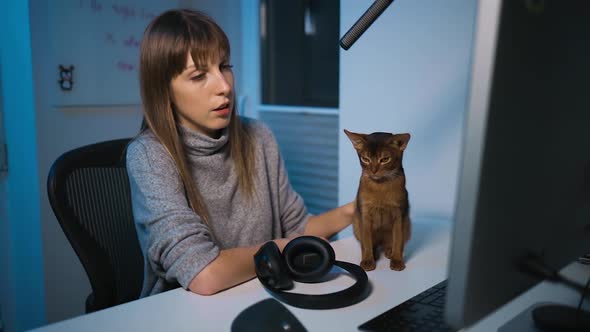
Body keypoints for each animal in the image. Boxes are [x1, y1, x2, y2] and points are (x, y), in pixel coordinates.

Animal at [344, 128, 414, 272]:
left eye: (385, 159)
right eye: (365, 159)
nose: (373, 171)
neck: (380, 186)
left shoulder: (399, 214)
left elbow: (398, 240)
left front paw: (397, 260)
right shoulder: (364, 214)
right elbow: (366, 241)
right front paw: (367, 260)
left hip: (407, 225)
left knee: (391, 242)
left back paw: (389, 251)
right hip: (356, 224)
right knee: (371, 243)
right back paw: (375, 253)